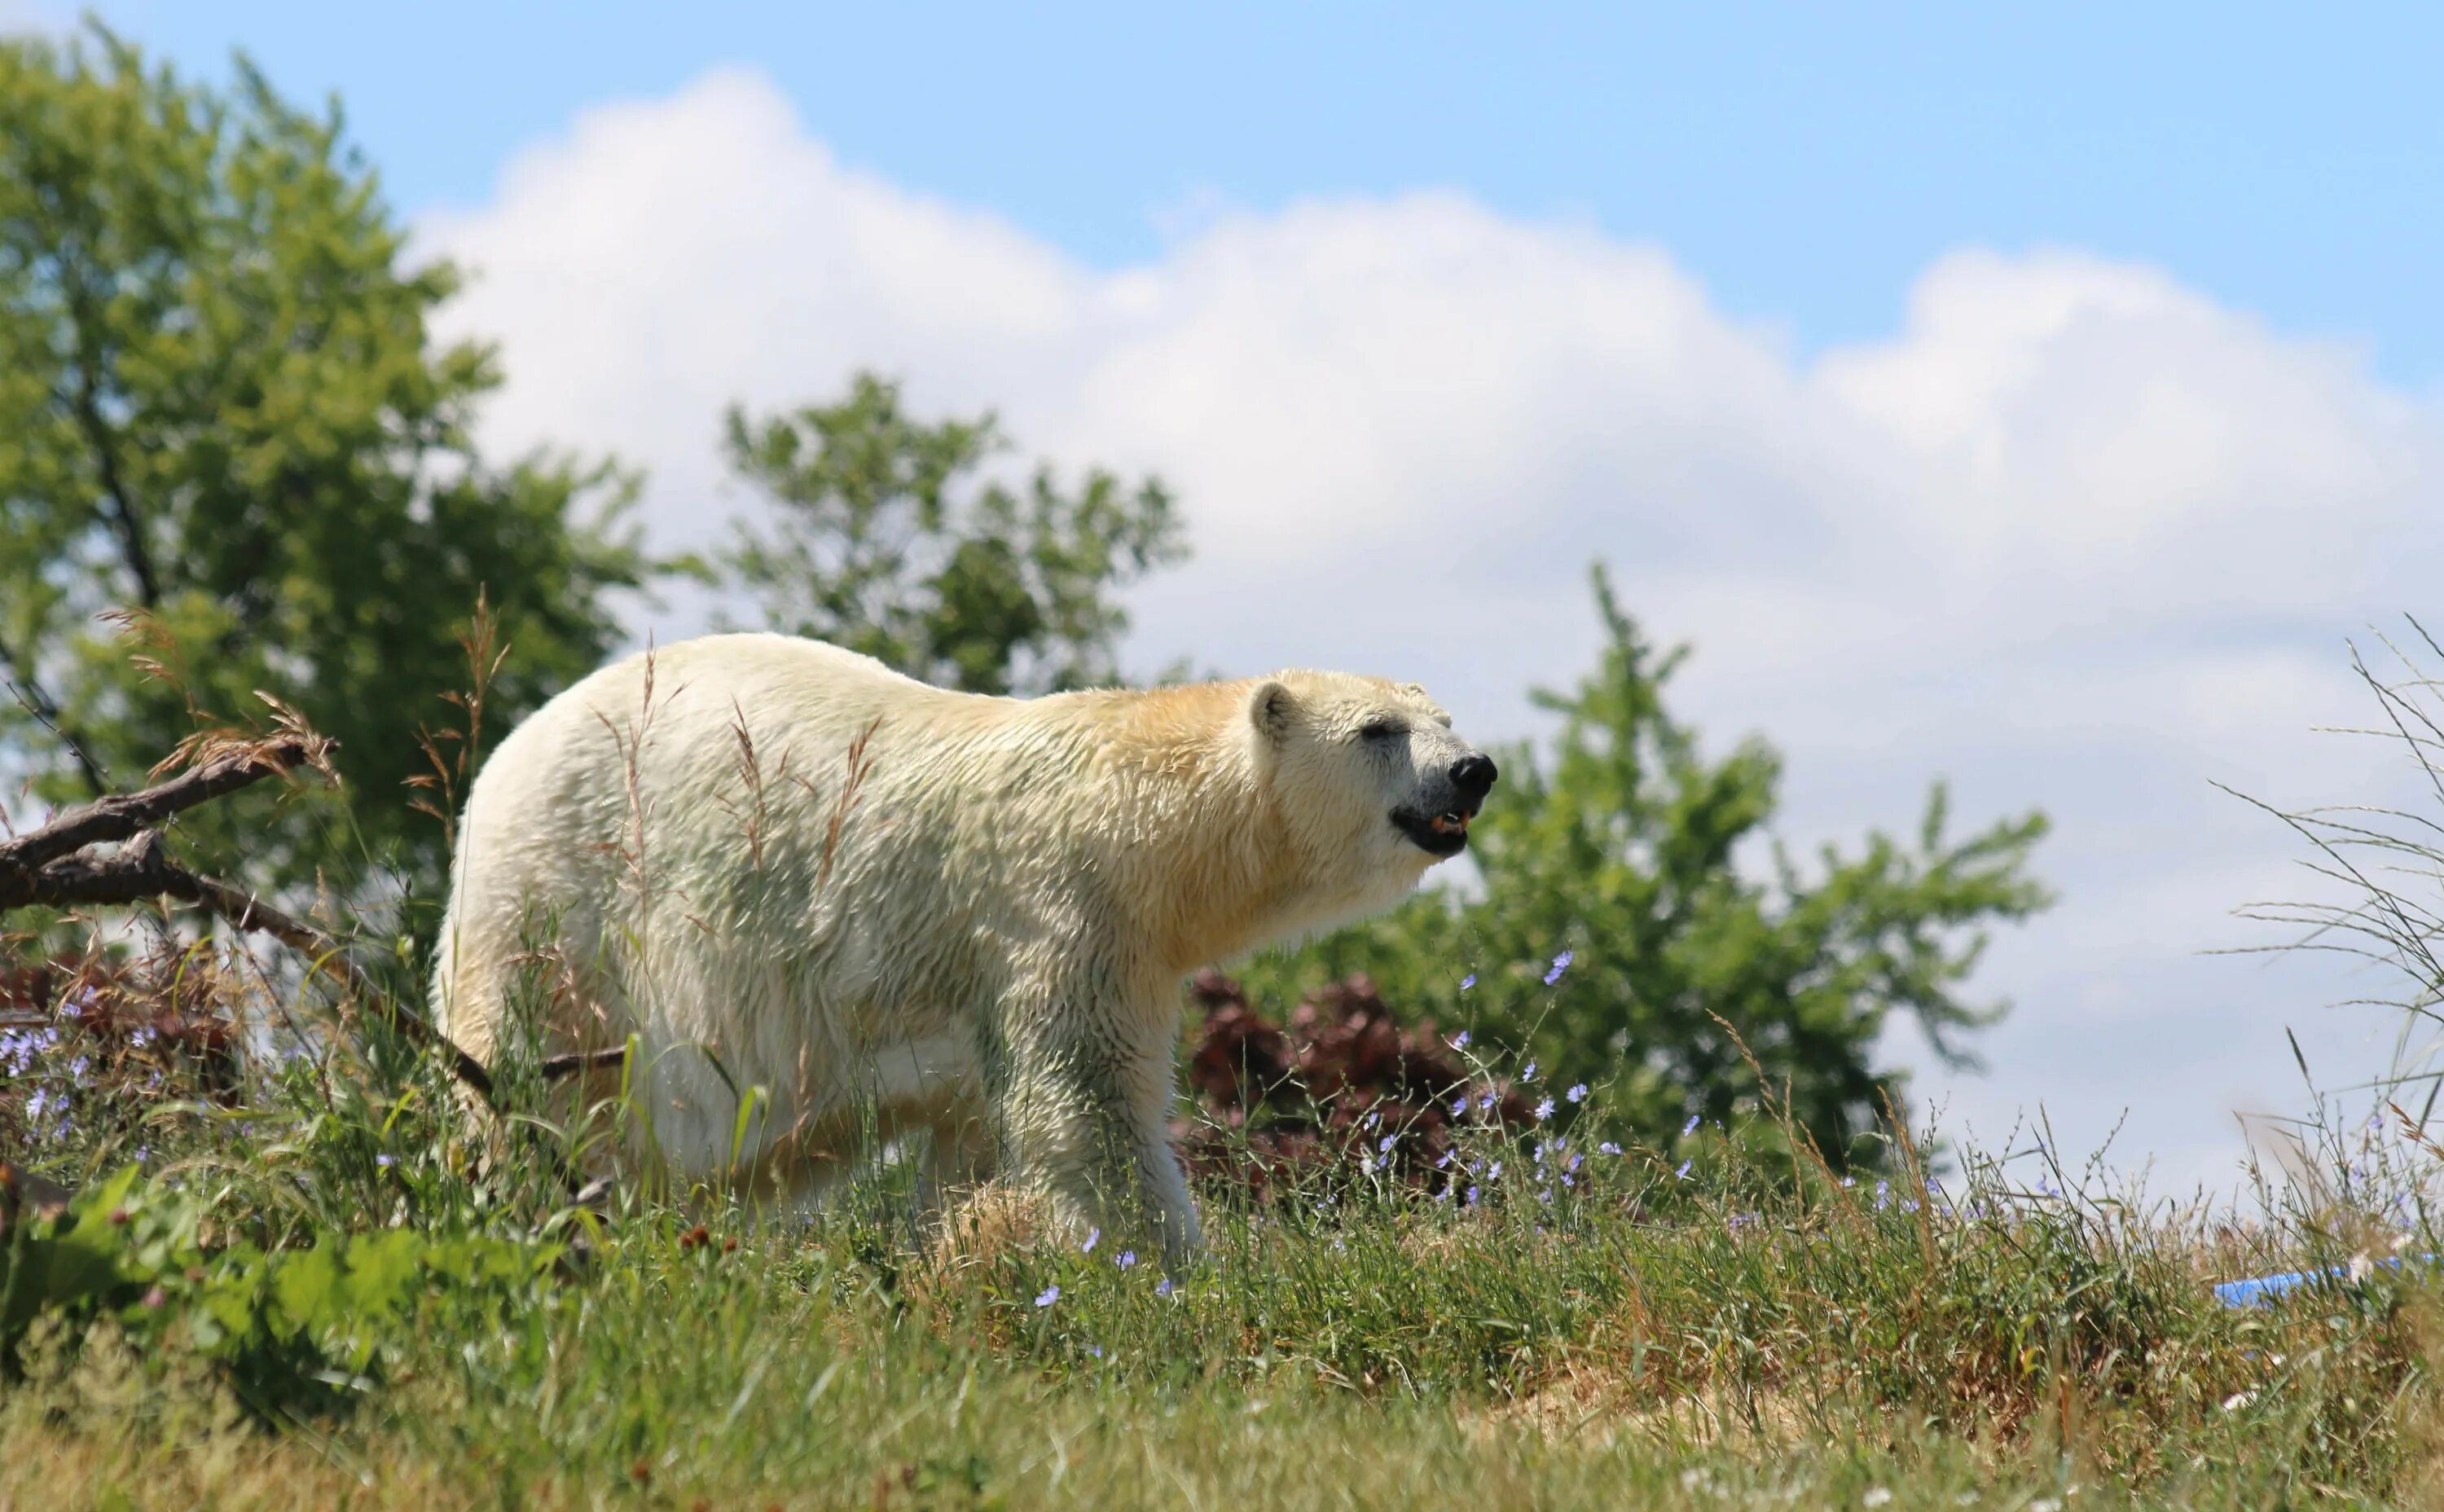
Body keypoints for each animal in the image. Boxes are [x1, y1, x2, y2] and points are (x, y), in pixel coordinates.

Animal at [433, 635, 1496, 1260]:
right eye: (1379, 729)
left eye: (1445, 717)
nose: (1474, 769)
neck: (1136, 812)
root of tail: (504, 755)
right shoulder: (1057, 909)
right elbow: (1085, 1114)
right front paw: (1180, 1275)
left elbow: (979, 1148)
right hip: (565, 907)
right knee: (538, 1081)